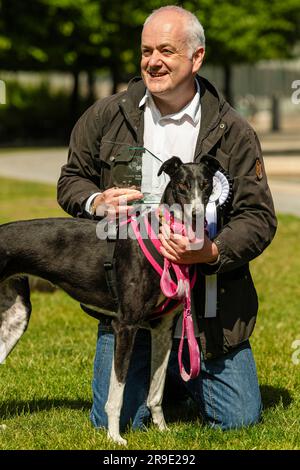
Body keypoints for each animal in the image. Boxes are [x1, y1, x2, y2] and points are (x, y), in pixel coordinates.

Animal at [0, 155, 218, 444]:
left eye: (206, 185)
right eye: (182, 185)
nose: (197, 215)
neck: (159, 236)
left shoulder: (163, 327)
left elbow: (156, 390)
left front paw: (162, 430)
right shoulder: (125, 326)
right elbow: (117, 393)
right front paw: (115, 437)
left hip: (16, 316)